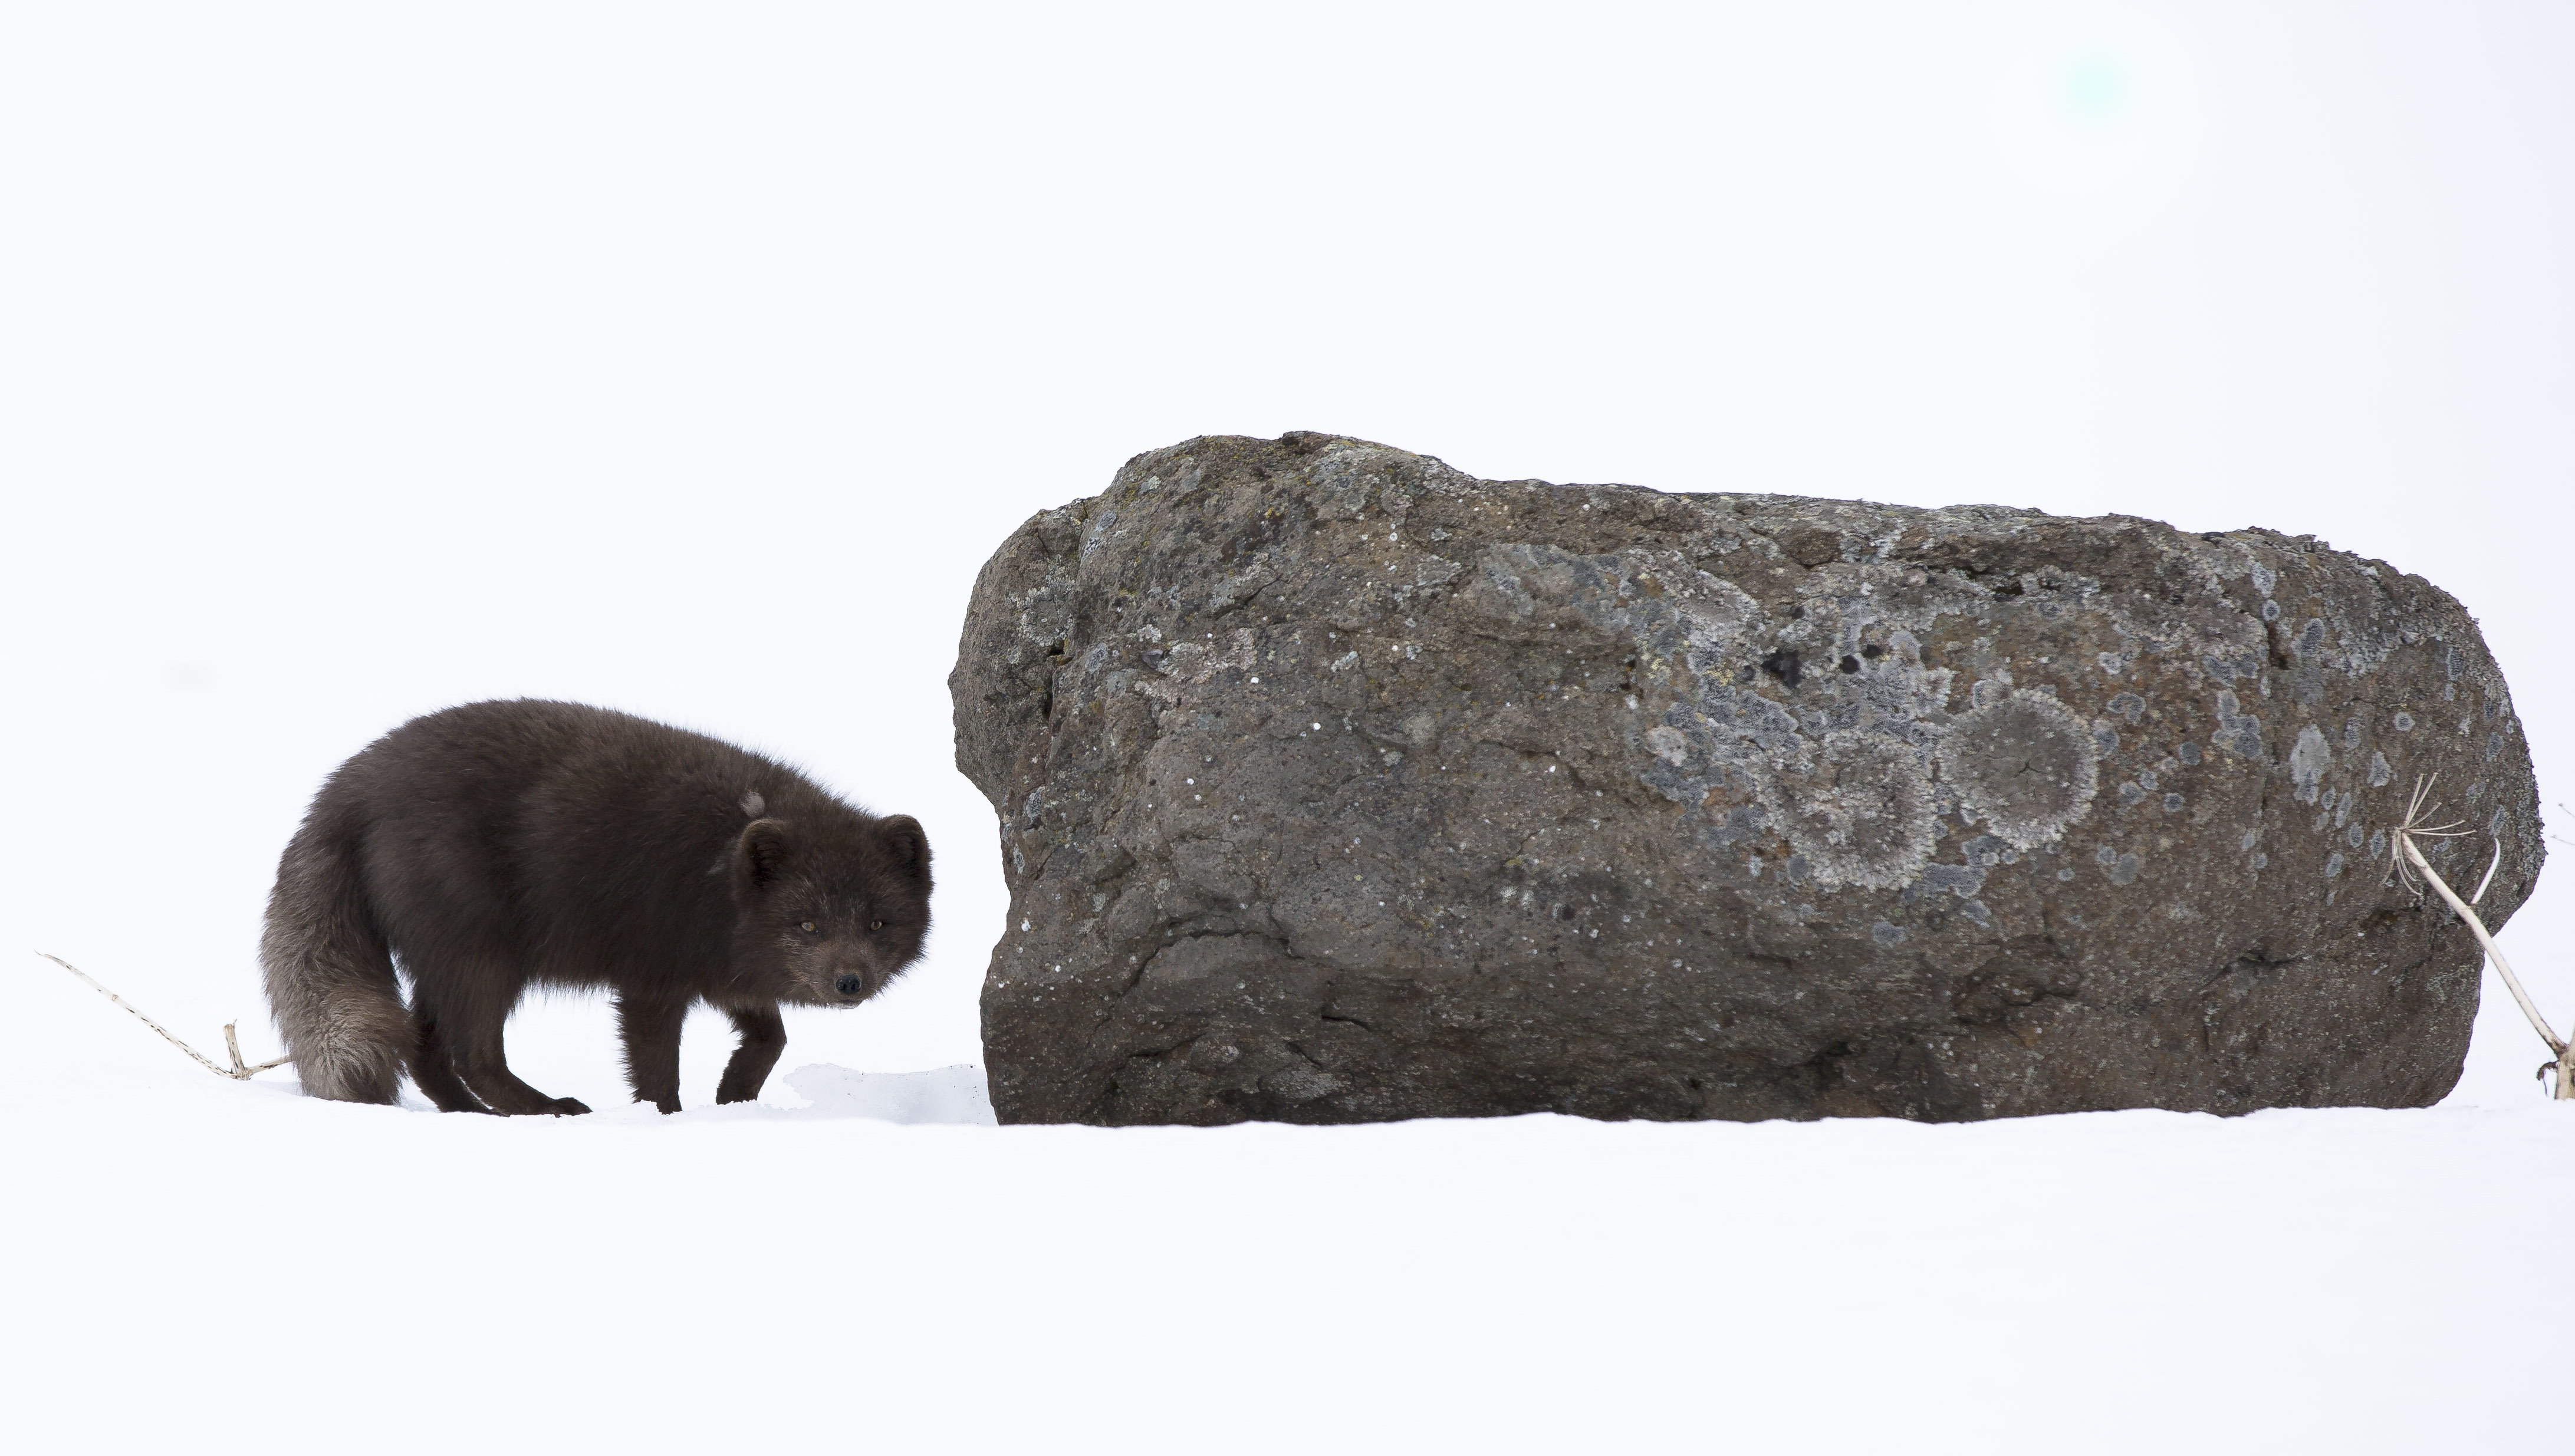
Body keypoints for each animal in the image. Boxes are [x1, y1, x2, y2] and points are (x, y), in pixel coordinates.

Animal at [260, 699, 932, 1114]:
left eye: (877, 922)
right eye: (808, 923)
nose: (849, 982)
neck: (716, 870)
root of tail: (344, 787)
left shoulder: (725, 970)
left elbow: (773, 1037)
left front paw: (734, 1092)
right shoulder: (652, 983)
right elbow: (657, 1072)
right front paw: (668, 1118)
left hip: (448, 961)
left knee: (425, 1048)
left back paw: (473, 1115)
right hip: (483, 956)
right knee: (473, 1054)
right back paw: (548, 1109)